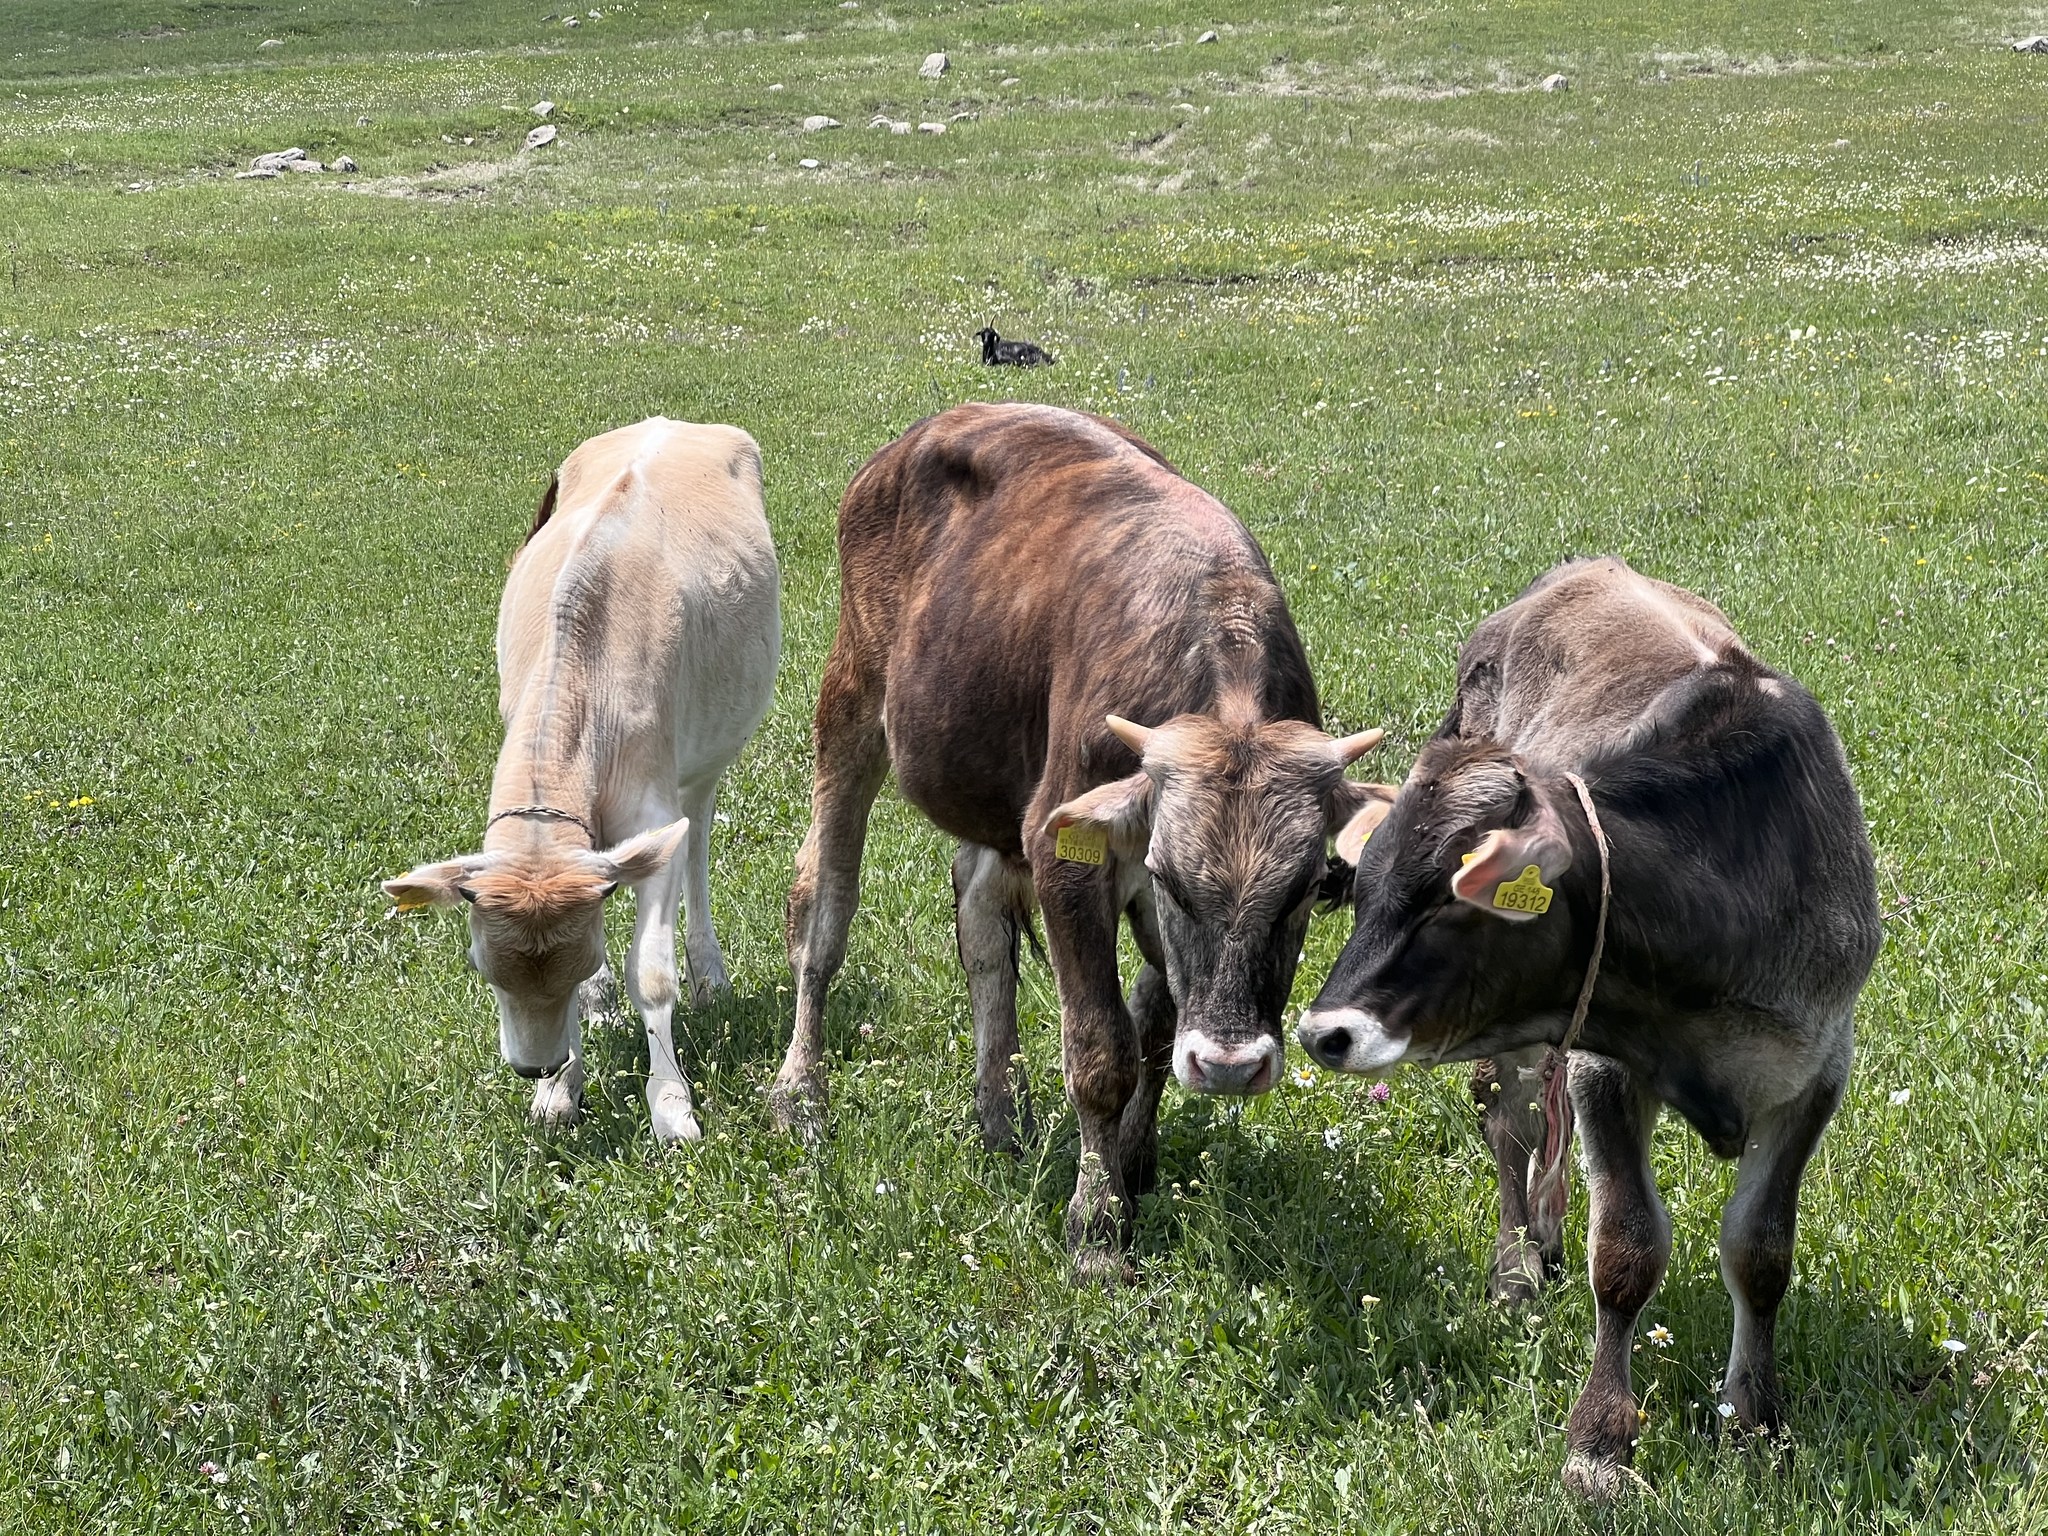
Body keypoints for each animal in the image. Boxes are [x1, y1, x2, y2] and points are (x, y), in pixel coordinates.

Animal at [383, 418, 781, 1144]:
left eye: (586, 958)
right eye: (481, 966)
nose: (533, 1067)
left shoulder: (654, 812)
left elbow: (651, 975)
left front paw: (671, 1108)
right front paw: (561, 1089)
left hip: (709, 757)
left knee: (699, 839)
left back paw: (709, 974)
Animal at [772, 402, 1383, 1280]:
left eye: (1303, 891)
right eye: (1172, 880)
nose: (1230, 1067)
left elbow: (1155, 1030)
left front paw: (1133, 1163)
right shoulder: (1067, 855)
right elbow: (1102, 1050)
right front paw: (1097, 1227)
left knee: (981, 924)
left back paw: (1001, 1113)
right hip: (852, 699)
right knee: (822, 911)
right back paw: (800, 1094)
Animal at [1297, 556, 1880, 1496]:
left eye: (1450, 902)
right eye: (1369, 889)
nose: (1324, 1032)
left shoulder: (1818, 1069)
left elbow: (1760, 1251)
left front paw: (1755, 1418)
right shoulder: (1604, 1067)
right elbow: (1628, 1251)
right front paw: (1601, 1442)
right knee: (1504, 1117)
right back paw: (1518, 1264)